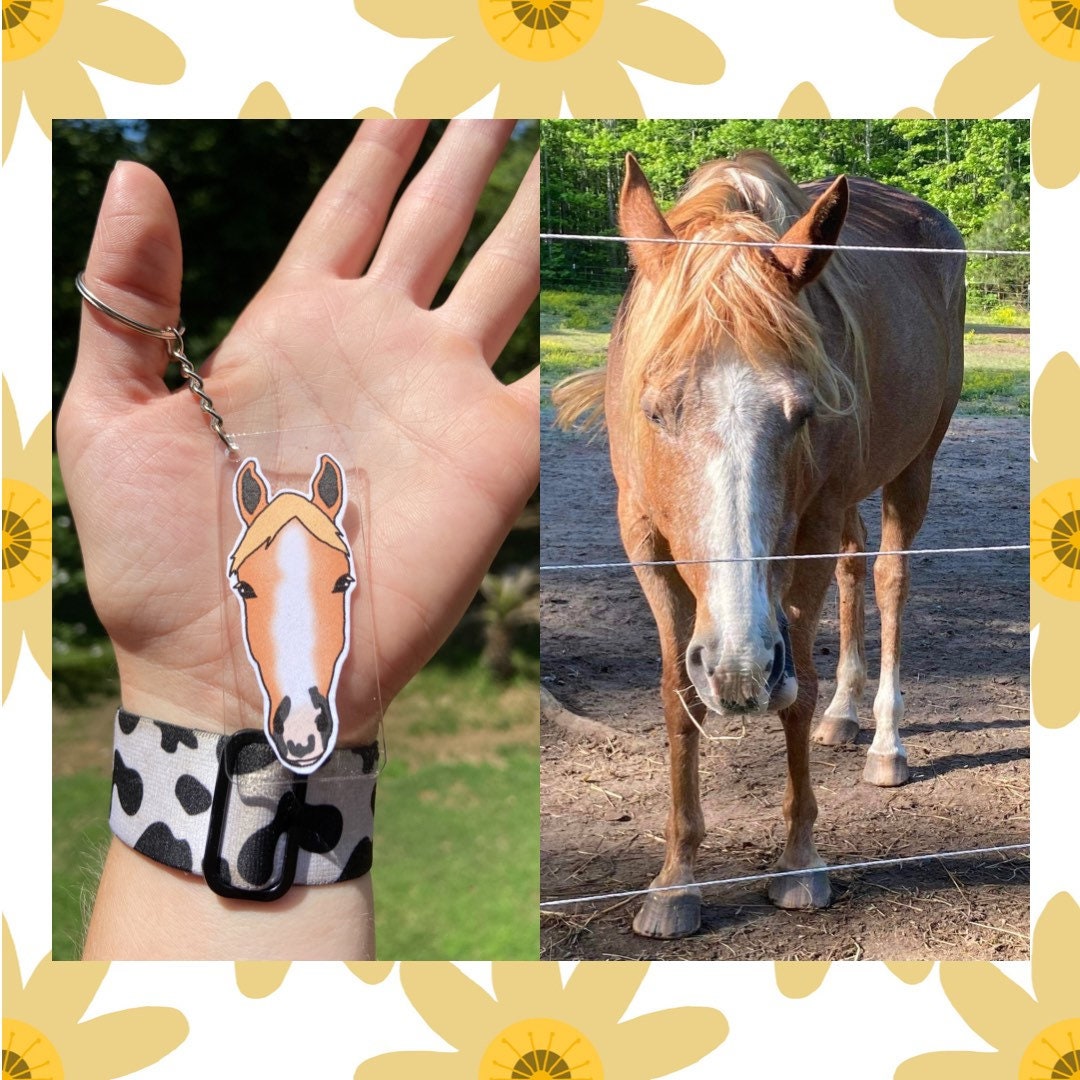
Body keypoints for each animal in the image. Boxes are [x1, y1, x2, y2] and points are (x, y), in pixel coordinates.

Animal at [553, 151, 965, 938]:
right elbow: (677, 696)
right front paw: (675, 883)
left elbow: (796, 693)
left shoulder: (809, 532)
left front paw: (800, 864)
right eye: (656, 410)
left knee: (890, 579)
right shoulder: (642, 540)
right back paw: (846, 717)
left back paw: (884, 743)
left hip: (913, 467)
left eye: (801, 411)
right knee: (856, 569)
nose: (740, 670)